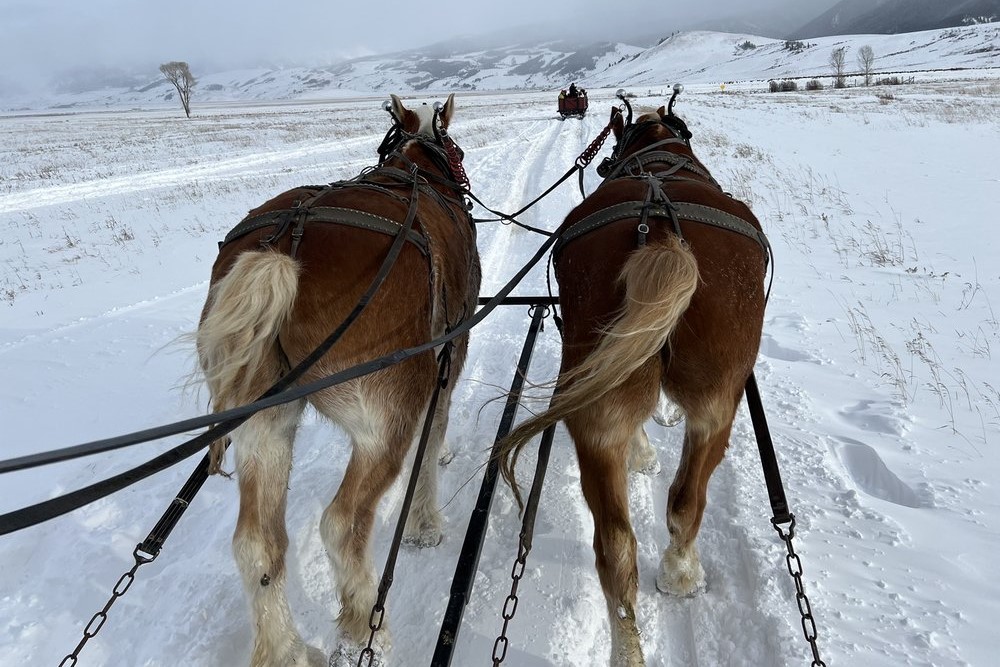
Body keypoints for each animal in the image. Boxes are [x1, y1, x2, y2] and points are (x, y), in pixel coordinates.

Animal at [194, 95, 480, 667]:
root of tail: (282, 249)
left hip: (266, 420)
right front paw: (425, 526)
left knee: (257, 546)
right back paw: (364, 626)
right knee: (343, 523)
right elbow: (431, 438)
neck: (420, 169)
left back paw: (287, 651)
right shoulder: (447, 357)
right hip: (382, 419)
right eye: (458, 150)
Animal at [504, 95, 768, 667]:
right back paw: (681, 574)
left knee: (619, 546)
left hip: (617, 412)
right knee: (683, 499)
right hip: (717, 401)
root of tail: (664, 233)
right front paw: (650, 447)